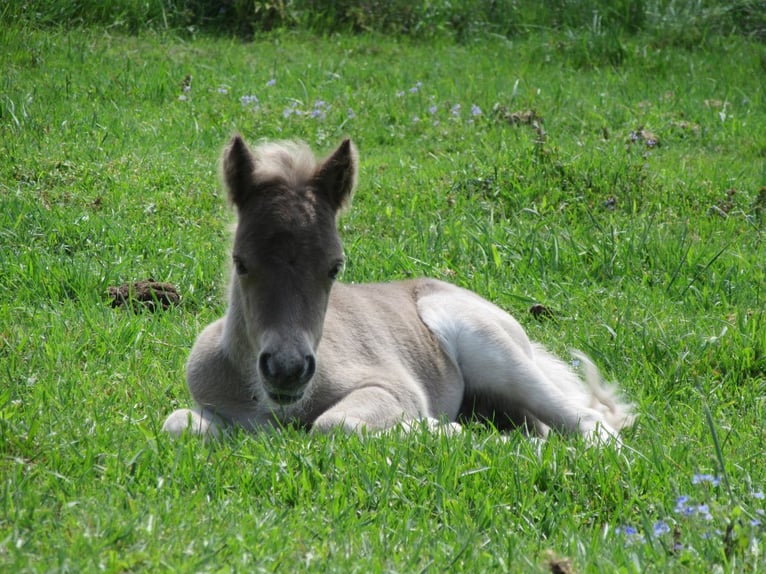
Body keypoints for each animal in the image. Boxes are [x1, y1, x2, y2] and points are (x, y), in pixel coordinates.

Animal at [162, 135, 636, 446]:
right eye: (241, 262)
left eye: (334, 267)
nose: (287, 370)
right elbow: (177, 424)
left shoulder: (392, 386)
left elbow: (337, 425)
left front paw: (436, 428)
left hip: (494, 351)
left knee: (589, 423)